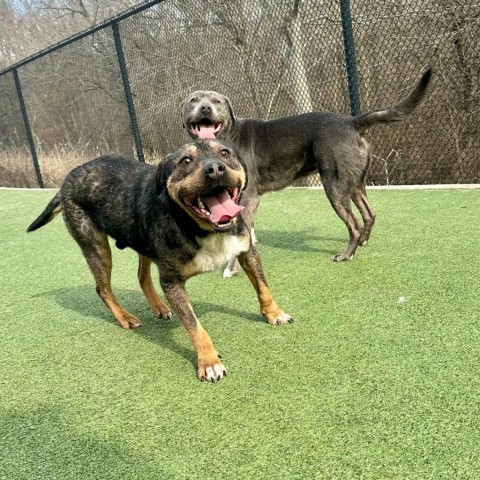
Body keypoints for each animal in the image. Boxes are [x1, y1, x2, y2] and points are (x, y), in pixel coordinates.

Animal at [30, 140, 294, 382]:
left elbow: (263, 287)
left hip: (143, 243)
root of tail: (68, 179)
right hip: (96, 247)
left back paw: (159, 307)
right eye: (185, 161)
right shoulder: (172, 282)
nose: (215, 169)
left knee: (141, 276)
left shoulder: (246, 252)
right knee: (103, 288)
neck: (202, 229)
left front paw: (274, 314)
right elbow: (195, 327)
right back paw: (125, 317)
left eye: (225, 153)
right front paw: (209, 362)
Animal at [182, 69, 434, 276]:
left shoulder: (247, 197)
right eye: (193, 100)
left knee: (354, 224)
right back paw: (362, 243)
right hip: (354, 183)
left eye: (216, 101)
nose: (205, 108)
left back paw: (346, 254)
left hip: (334, 187)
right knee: (369, 215)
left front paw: (231, 268)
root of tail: (352, 122)